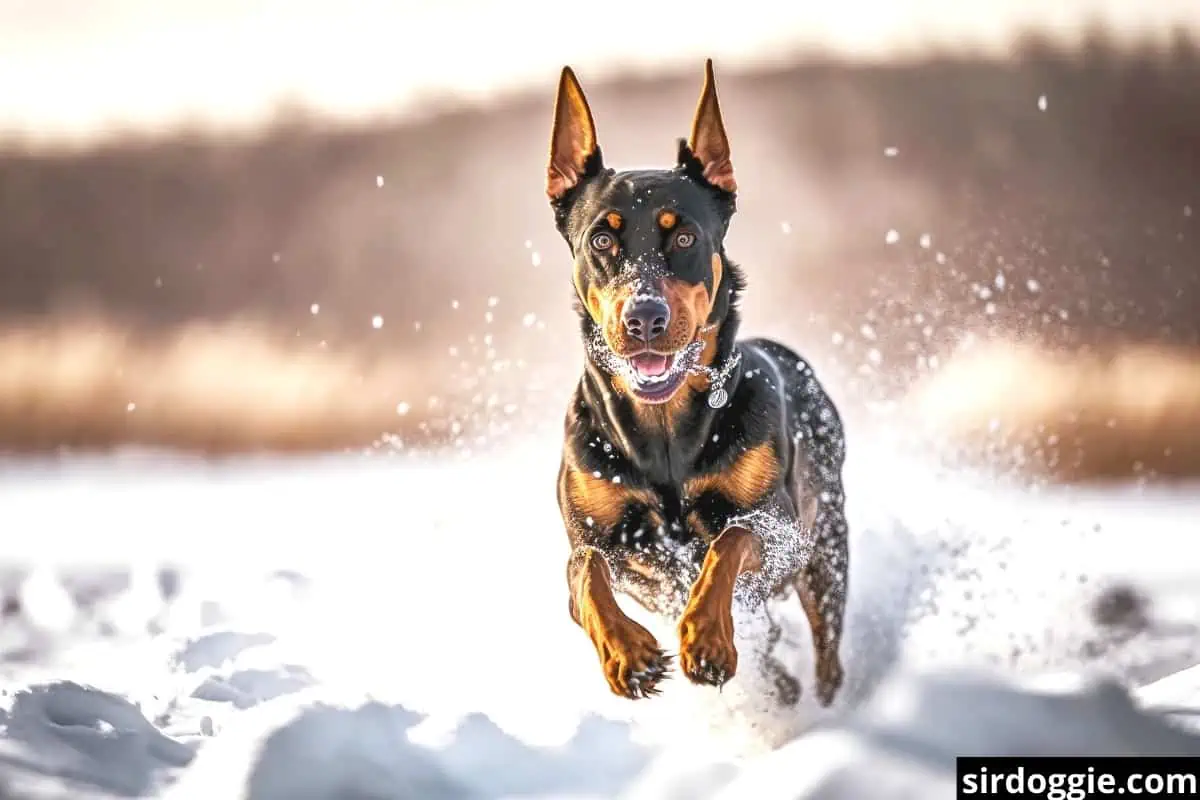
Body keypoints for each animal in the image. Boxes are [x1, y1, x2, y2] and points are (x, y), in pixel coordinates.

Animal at [549, 57, 849, 705]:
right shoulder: (595, 534)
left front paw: (706, 640)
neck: (665, 433)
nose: (644, 318)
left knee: (827, 647)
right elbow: (584, 572)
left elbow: (727, 541)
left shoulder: (781, 528)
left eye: (684, 236)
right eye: (601, 239)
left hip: (828, 549)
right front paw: (629, 654)